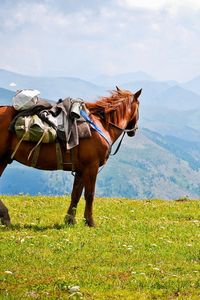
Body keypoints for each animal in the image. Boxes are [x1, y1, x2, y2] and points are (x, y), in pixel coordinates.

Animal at [0, 85, 141, 226]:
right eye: (138, 106)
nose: (134, 131)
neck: (102, 126)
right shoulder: (92, 166)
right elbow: (89, 194)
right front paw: (90, 221)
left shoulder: (81, 170)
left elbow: (76, 194)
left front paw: (70, 219)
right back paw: (5, 216)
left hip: (4, 159)